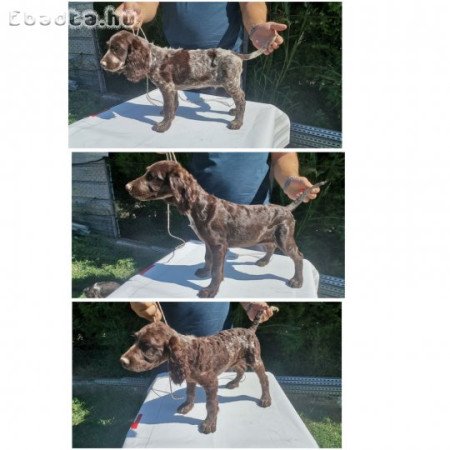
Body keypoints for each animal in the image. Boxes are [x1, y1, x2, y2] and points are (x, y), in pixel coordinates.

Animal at [100, 29, 266, 131]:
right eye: (108, 47)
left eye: (117, 49)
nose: (102, 64)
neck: (153, 58)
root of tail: (234, 54)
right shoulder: (171, 88)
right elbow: (172, 105)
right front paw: (169, 117)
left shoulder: (167, 87)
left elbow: (168, 107)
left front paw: (163, 125)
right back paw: (235, 111)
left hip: (230, 82)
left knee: (241, 99)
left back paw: (238, 122)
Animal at [118, 312, 270, 432]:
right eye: (135, 339)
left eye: (147, 346)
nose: (122, 361)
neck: (188, 352)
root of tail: (250, 330)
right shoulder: (190, 380)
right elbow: (190, 394)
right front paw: (187, 406)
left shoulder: (211, 383)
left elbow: (211, 405)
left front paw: (209, 423)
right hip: (233, 360)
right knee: (241, 369)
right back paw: (234, 383)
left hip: (255, 360)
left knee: (264, 379)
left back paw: (266, 398)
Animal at [125, 160, 326, 298]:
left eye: (152, 177)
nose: (127, 186)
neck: (198, 205)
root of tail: (286, 209)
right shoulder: (207, 242)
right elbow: (208, 259)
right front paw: (204, 272)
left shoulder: (219, 245)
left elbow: (217, 270)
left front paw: (210, 290)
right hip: (266, 235)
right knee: (270, 246)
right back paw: (263, 261)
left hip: (284, 236)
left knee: (298, 257)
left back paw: (297, 281)